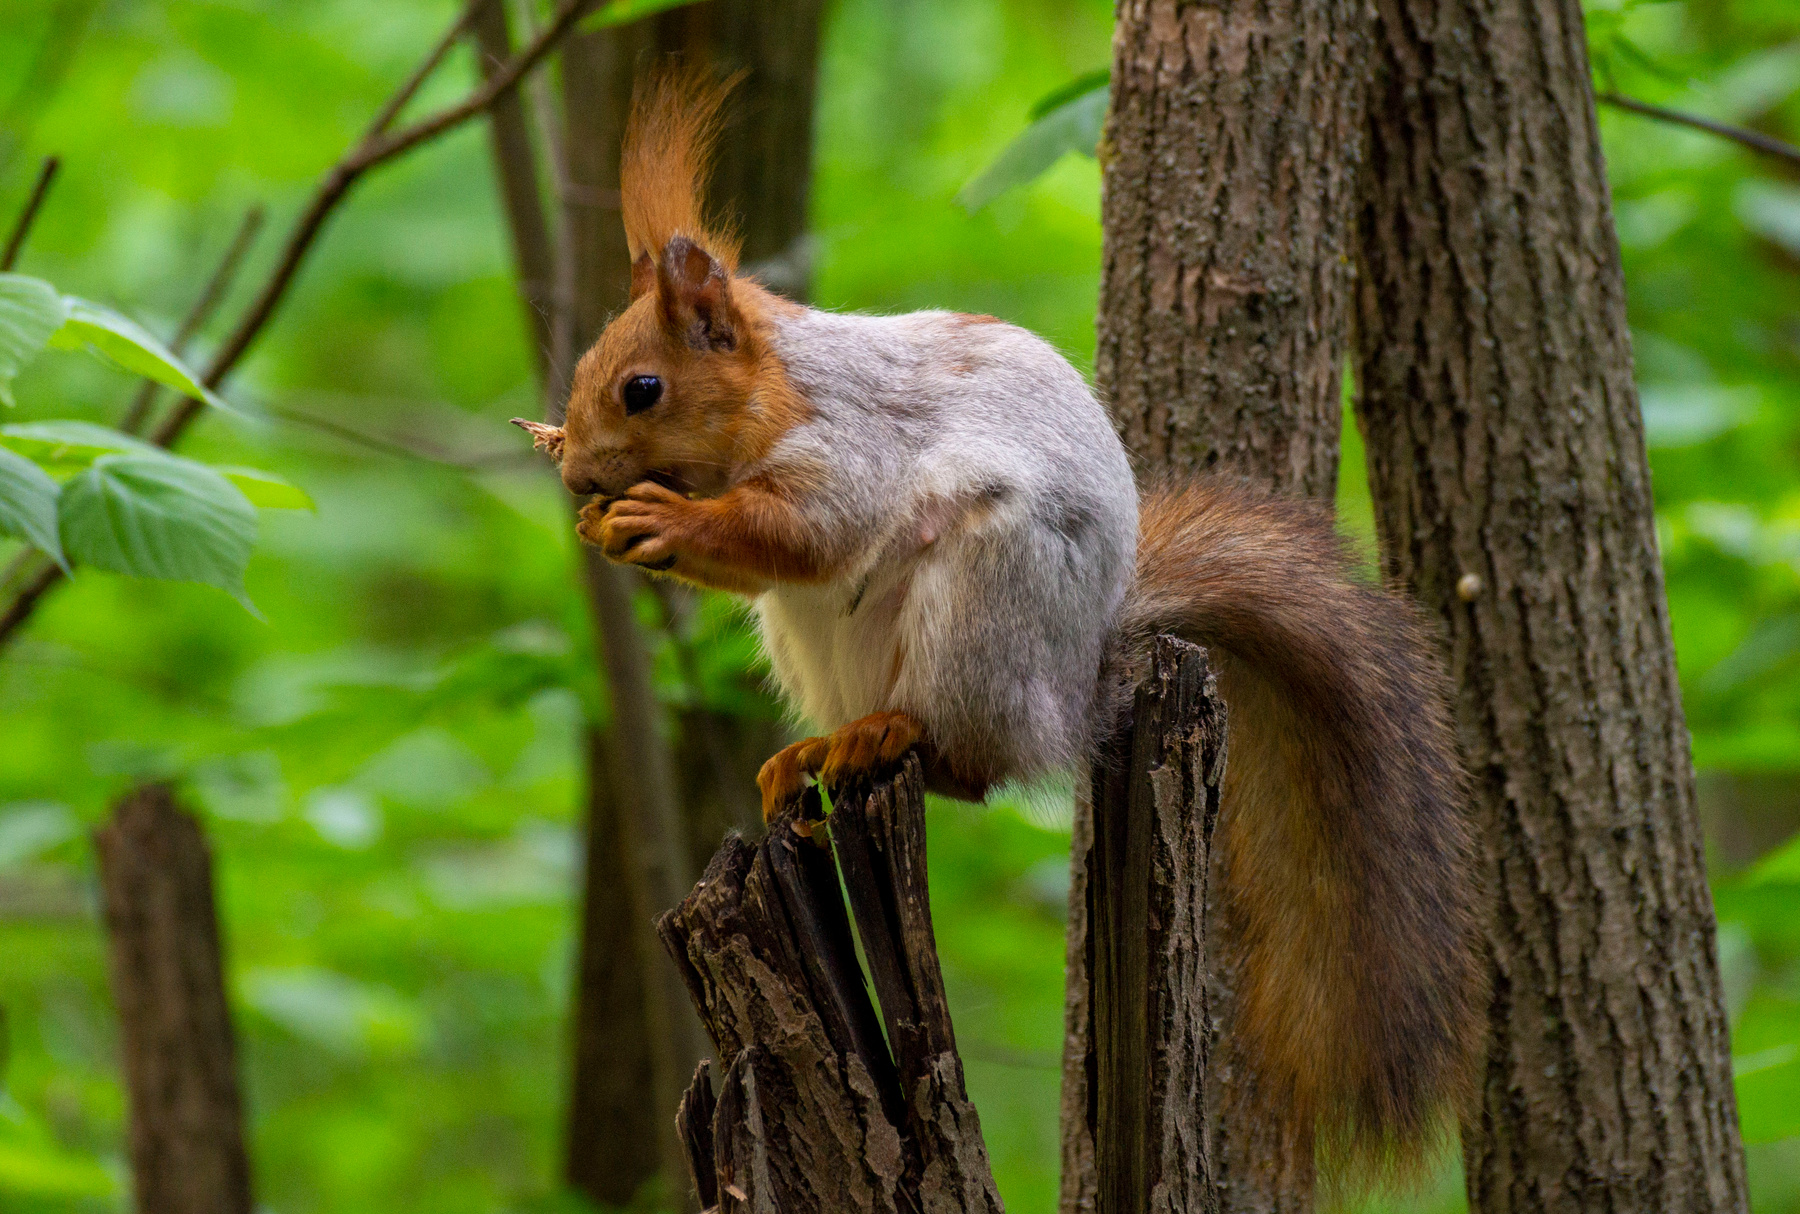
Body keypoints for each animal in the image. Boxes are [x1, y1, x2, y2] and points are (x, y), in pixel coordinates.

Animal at [514, 71, 1480, 1189]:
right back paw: (813, 749)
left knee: (971, 767)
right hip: (813, 643)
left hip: (982, 609)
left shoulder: (850, 447)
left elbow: (809, 531)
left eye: (644, 388)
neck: (780, 389)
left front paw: (662, 521)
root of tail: (1073, 694)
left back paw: (887, 736)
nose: (580, 475)